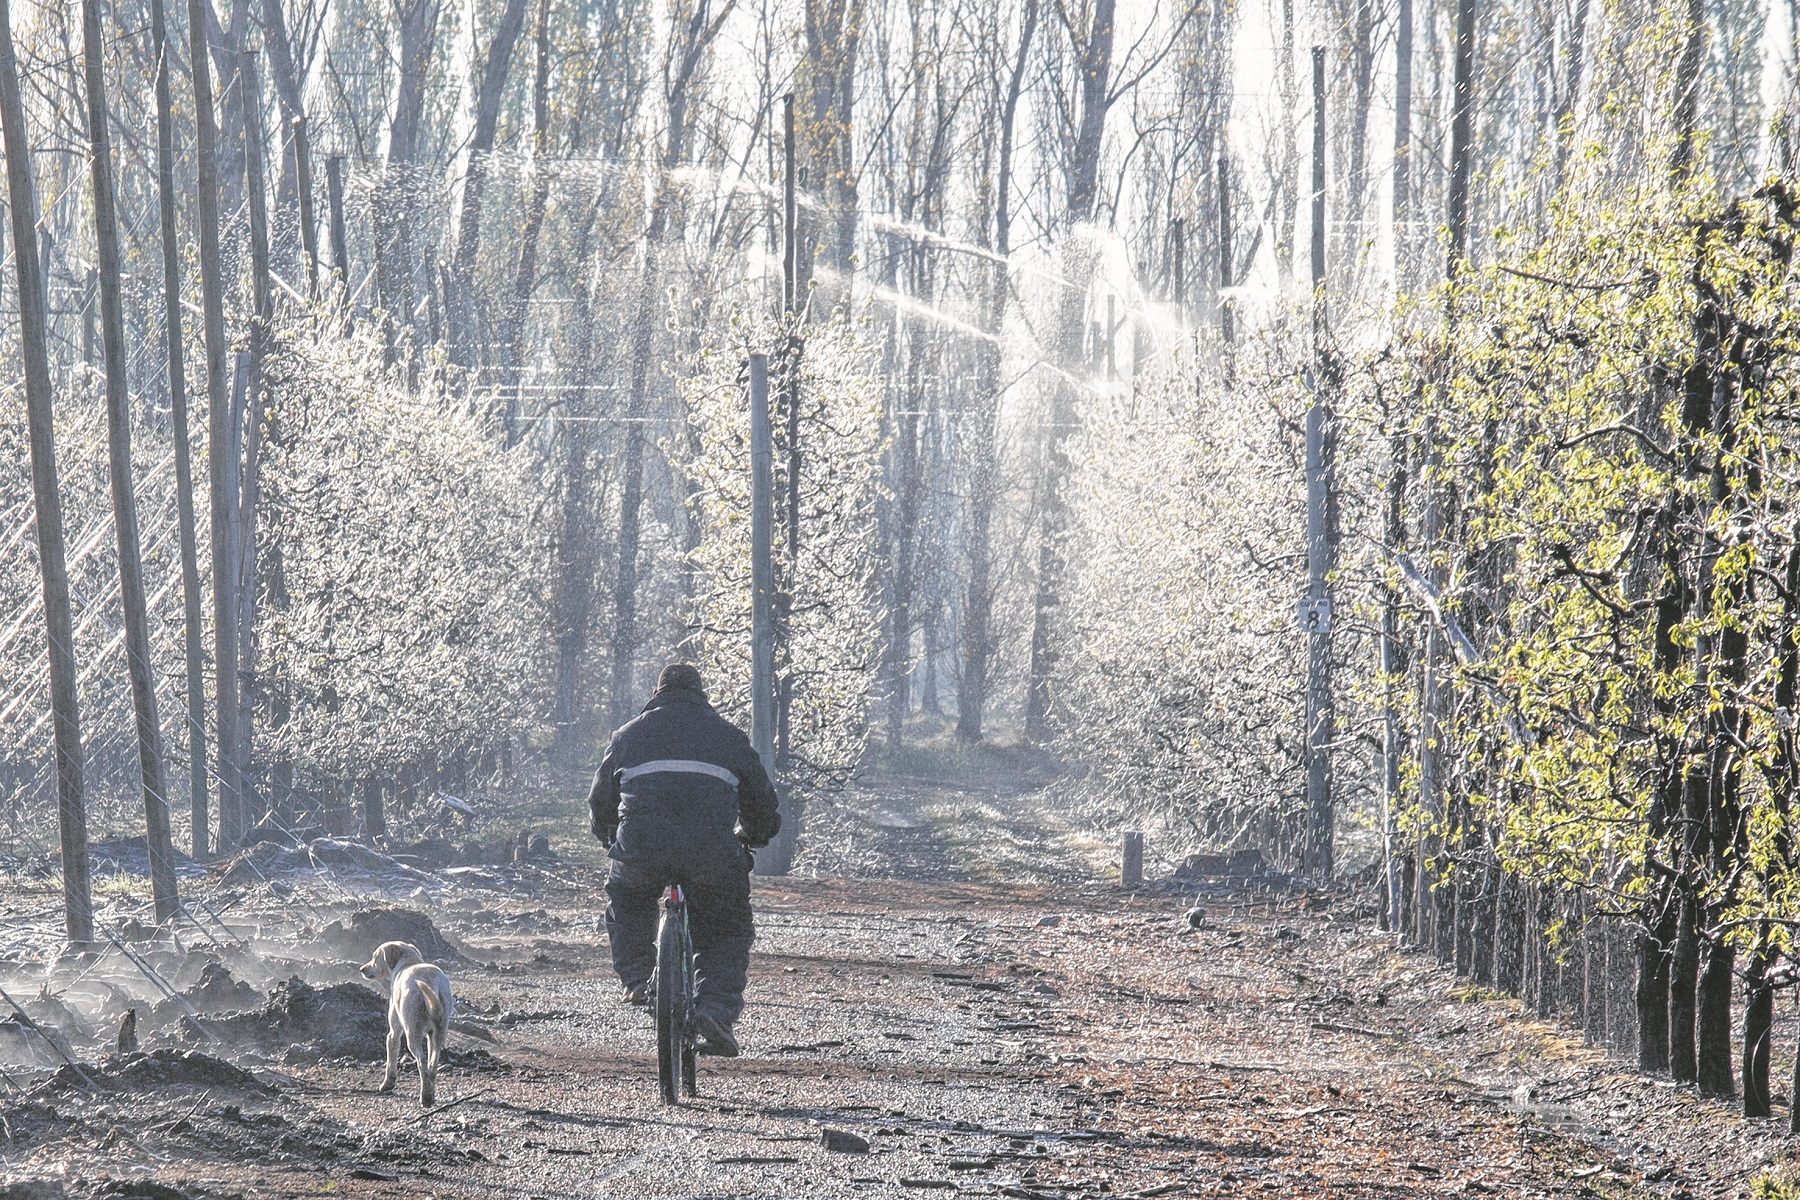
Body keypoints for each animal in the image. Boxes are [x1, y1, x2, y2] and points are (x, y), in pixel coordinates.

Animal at [358, 935, 453, 1108]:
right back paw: (430, 1093)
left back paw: (425, 1097)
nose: (362, 969)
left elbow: (391, 1059)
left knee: (422, 1061)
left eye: (375, 957)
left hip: (412, 1034)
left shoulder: (394, 1032)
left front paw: (387, 1084)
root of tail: (431, 983)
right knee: (432, 1064)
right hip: (439, 1034)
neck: (409, 962)